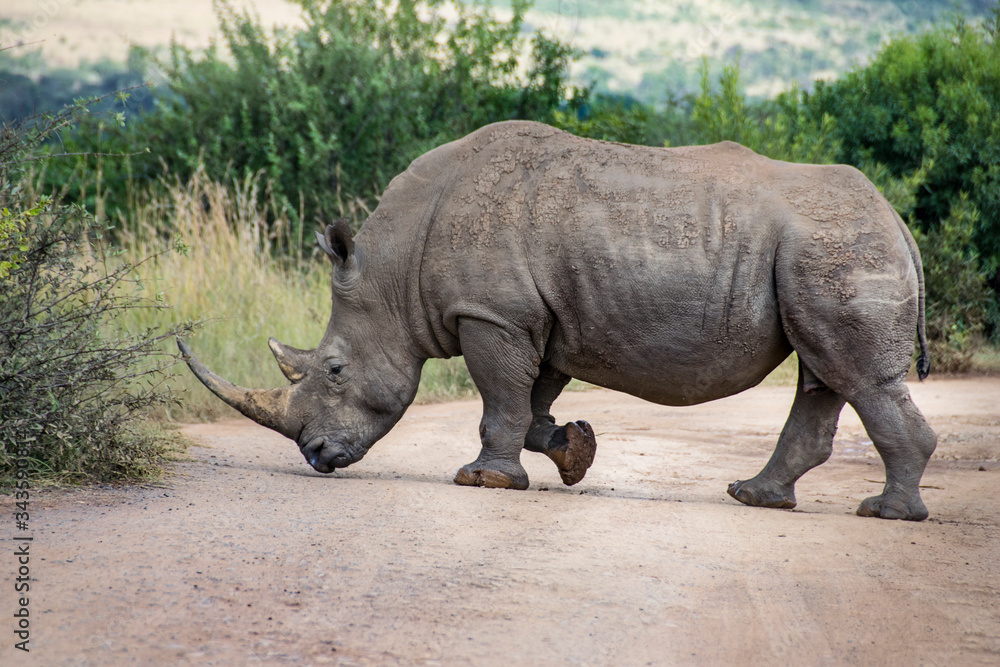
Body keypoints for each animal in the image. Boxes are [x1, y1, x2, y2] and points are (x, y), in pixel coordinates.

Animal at [180, 120, 938, 521]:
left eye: (335, 370)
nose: (315, 455)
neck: (394, 271)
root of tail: (895, 218)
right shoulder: (528, 316)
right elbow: (529, 402)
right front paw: (575, 450)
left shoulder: (491, 313)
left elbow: (501, 401)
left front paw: (482, 482)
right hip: (825, 249)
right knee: (825, 375)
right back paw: (756, 497)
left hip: (836, 248)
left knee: (853, 376)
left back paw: (884, 513)